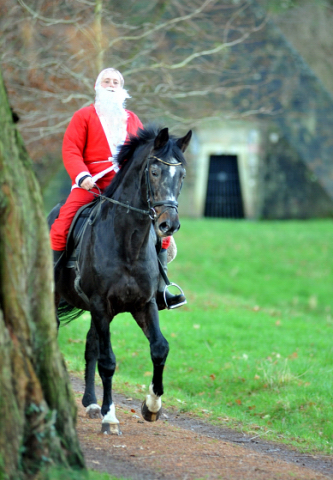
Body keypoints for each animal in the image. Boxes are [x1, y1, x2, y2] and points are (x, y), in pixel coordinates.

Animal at [48, 125, 191, 434]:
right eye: (154, 171)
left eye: (182, 175)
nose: (168, 225)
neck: (127, 242)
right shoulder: (101, 305)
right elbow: (108, 362)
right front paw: (110, 417)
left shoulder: (144, 304)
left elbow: (159, 348)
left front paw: (152, 406)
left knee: (90, 345)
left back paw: (91, 403)